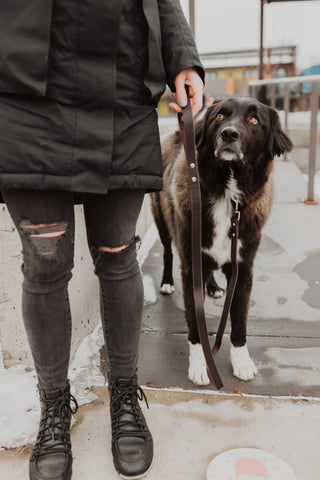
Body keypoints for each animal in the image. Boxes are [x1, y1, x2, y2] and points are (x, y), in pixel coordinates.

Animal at [151, 97, 292, 386]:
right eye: (219, 117)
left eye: (253, 120)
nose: (229, 134)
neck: (227, 196)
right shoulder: (191, 266)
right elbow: (196, 323)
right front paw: (199, 364)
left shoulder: (243, 268)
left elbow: (239, 321)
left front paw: (242, 361)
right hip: (163, 224)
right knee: (168, 252)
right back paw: (167, 282)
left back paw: (213, 286)